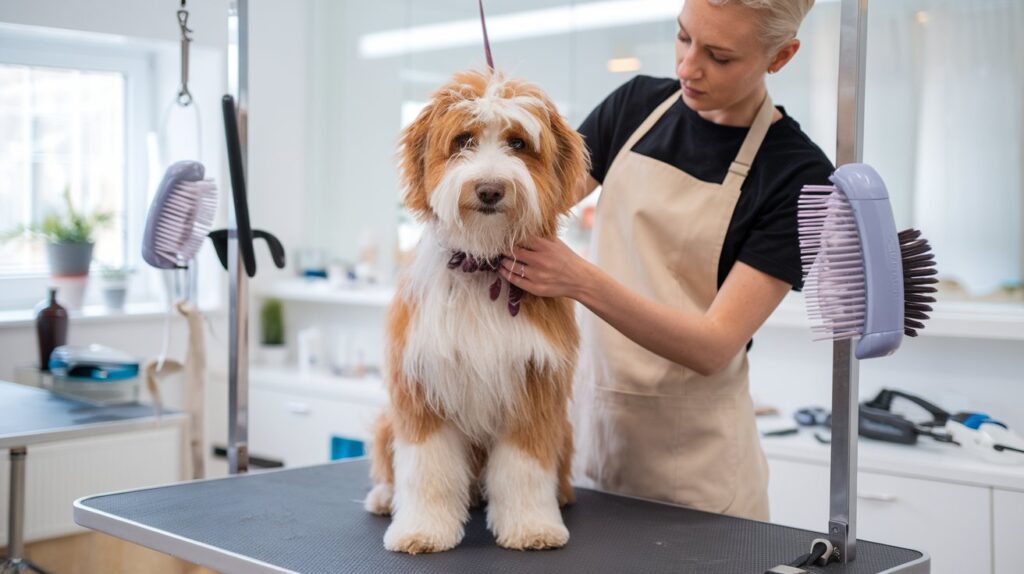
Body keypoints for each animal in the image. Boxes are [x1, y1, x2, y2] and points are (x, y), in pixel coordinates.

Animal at [366, 69, 593, 552]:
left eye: (518, 143)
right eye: (463, 140)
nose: (490, 189)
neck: (481, 264)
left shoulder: (535, 386)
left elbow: (525, 469)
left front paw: (532, 527)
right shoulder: (420, 386)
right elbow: (427, 469)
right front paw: (421, 530)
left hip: (564, 428)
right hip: (387, 421)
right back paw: (384, 496)